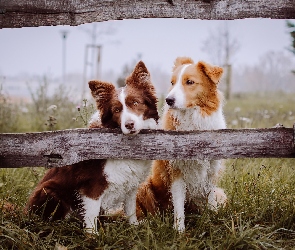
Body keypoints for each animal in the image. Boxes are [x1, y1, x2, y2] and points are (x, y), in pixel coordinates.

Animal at [28, 61, 160, 232]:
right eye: (116, 110)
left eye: (135, 103)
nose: (129, 125)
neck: (125, 145)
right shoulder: (92, 188)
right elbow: (91, 218)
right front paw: (93, 236)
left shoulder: (131, 186)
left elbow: (130, 210)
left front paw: (134, 228)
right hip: (51, 191)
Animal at [138, 57, 228, 232]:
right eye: (172, 83)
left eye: (190, 82)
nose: (168, 100)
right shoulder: (176, 171)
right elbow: (179, 205)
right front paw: (179, 231)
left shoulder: (211, 172)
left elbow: (210, 200)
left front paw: (211, 222)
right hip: (144, 187)